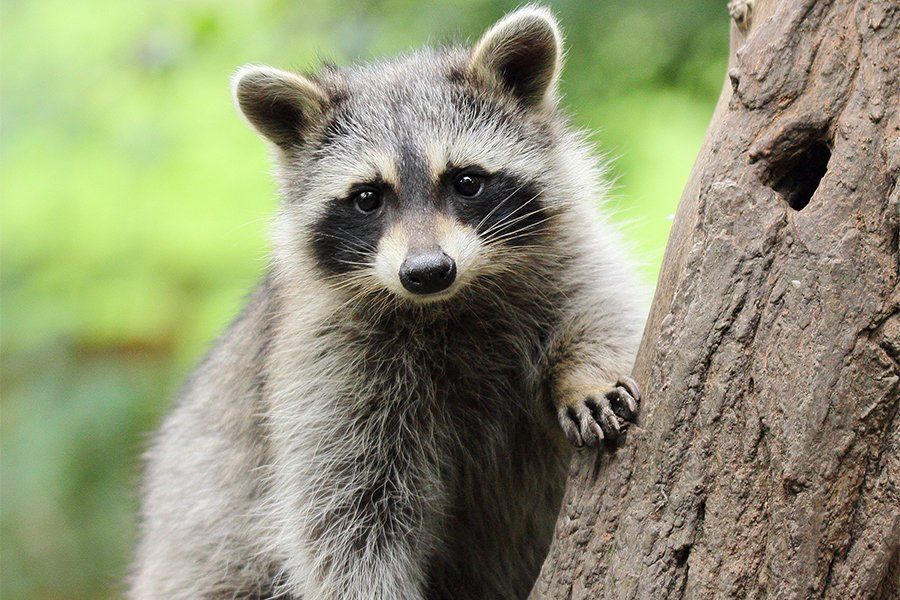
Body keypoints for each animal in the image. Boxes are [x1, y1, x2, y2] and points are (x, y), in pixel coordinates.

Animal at [130, 6, 647, 599]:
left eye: (466, 181)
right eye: (367, 198)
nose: (426, 272)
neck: (450, 302)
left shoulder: (570, 257)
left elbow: (605, 310)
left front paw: (585, 373)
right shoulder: (328, 366)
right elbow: (346, 518)